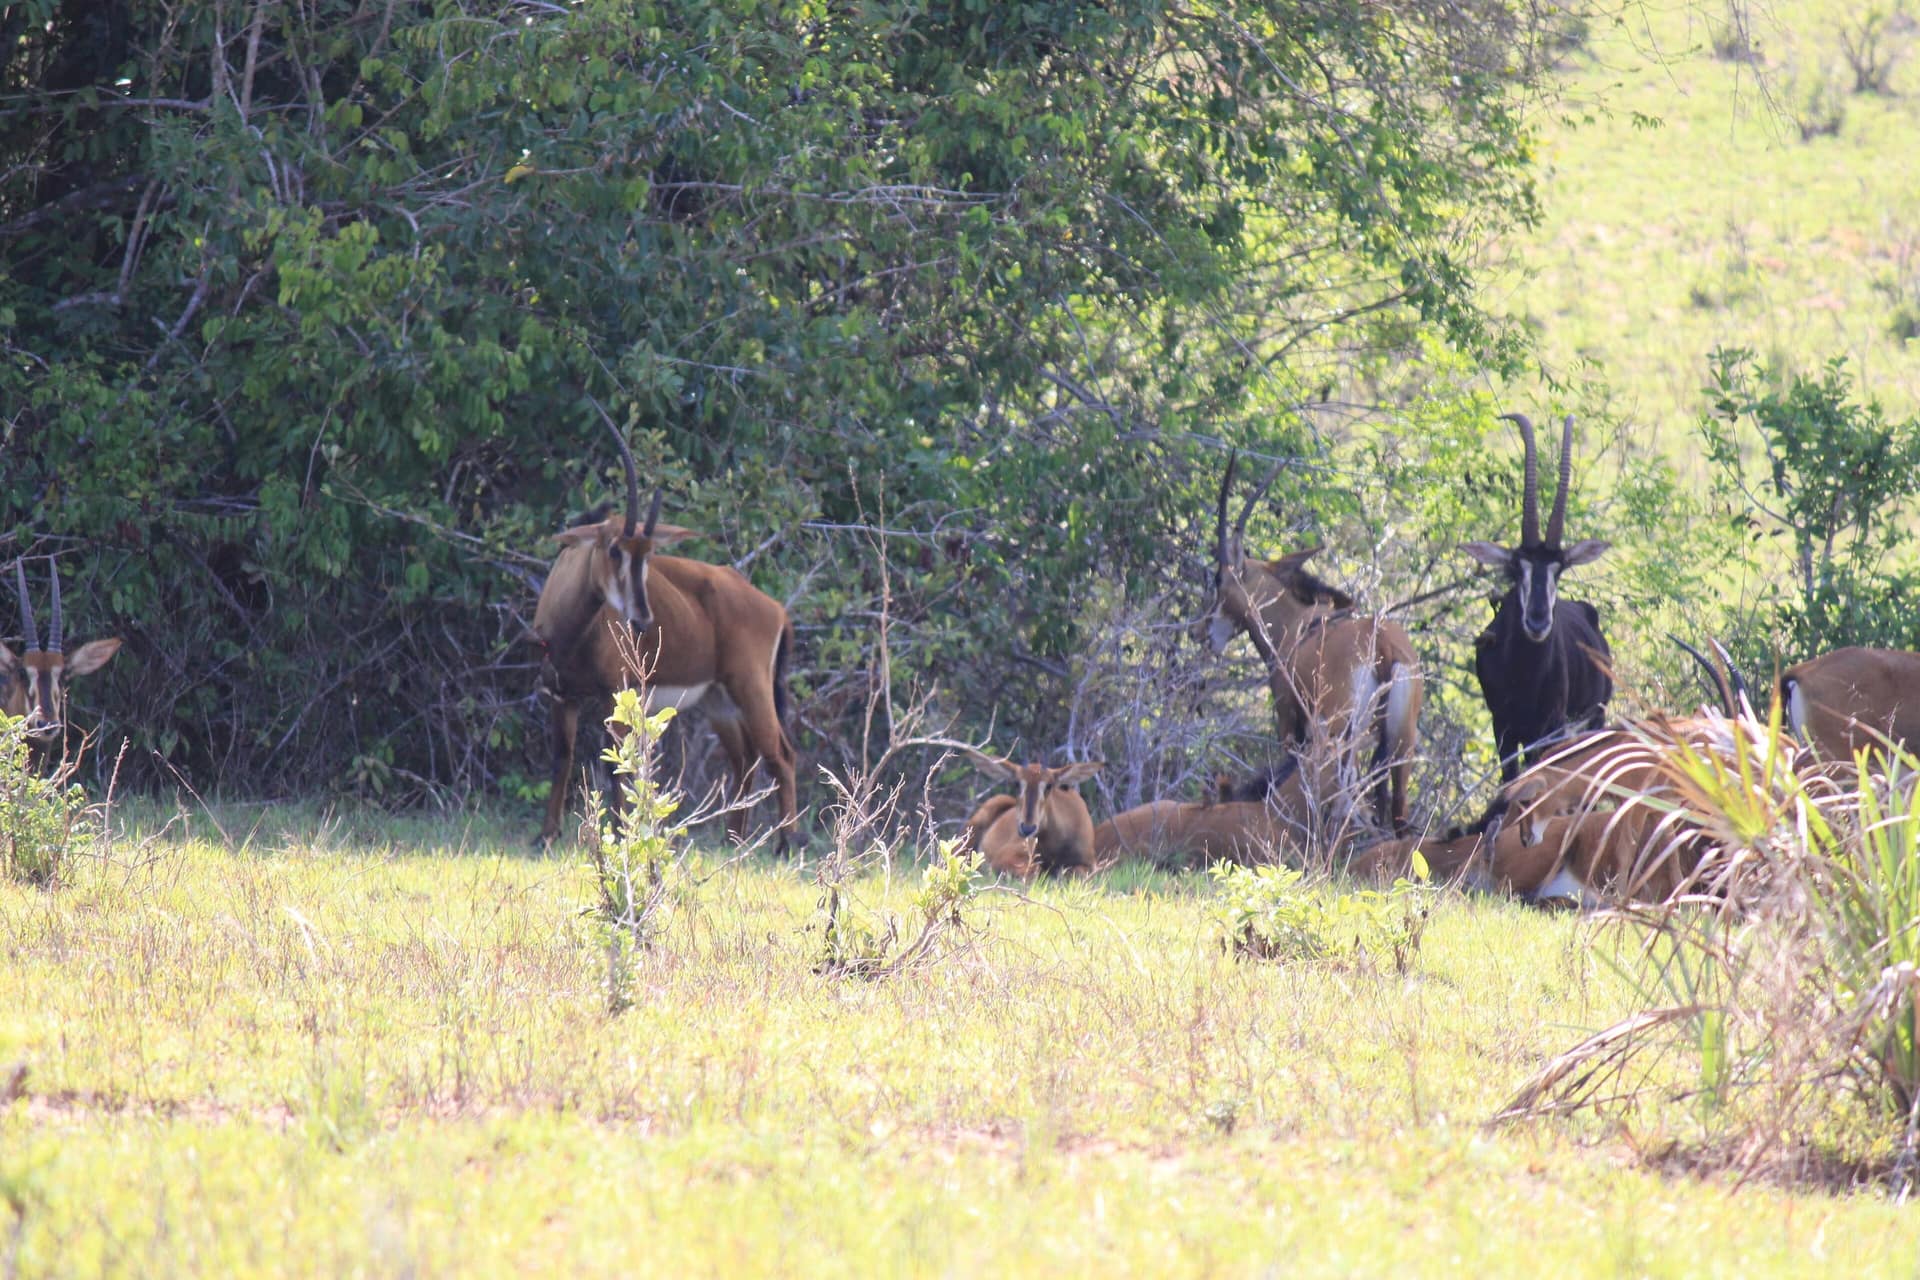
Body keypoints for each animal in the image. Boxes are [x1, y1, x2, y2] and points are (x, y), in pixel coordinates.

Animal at [532, 412, 798, 851]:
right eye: (614, 549)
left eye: (650, 554)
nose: (641, 619)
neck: (573, 631)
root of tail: (776, 609)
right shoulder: (561, 696)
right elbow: (562, 759)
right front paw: (546, 834)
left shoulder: (615, 694)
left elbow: (619, 767)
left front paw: (623, 834)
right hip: (718, 699)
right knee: (744, 758)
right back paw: (734, 840)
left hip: (750, 687)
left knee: (780, 754)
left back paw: (788, 843)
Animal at [958, 751, 1104, 878]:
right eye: (1017, 783)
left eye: (1049, 785)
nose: (1027, 828)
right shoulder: (1004, 857)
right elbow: (1034, 870)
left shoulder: (1091, 864)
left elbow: (1076, 871)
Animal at [1196, 453, 1422, 832]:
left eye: (1217, 578)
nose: (1202, 632)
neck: (1297, 624)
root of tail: (1383, 645)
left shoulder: (1289, 720)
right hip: (1400, 742)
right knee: (1397, 812)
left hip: (1340, 733)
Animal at [1461, 412, 1613, 782]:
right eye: (1517, 568)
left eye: (1559, 570)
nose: (1538, 621)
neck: (1522, 672)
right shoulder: (1502, 727)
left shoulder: (1548, 729)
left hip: (1593, 721)